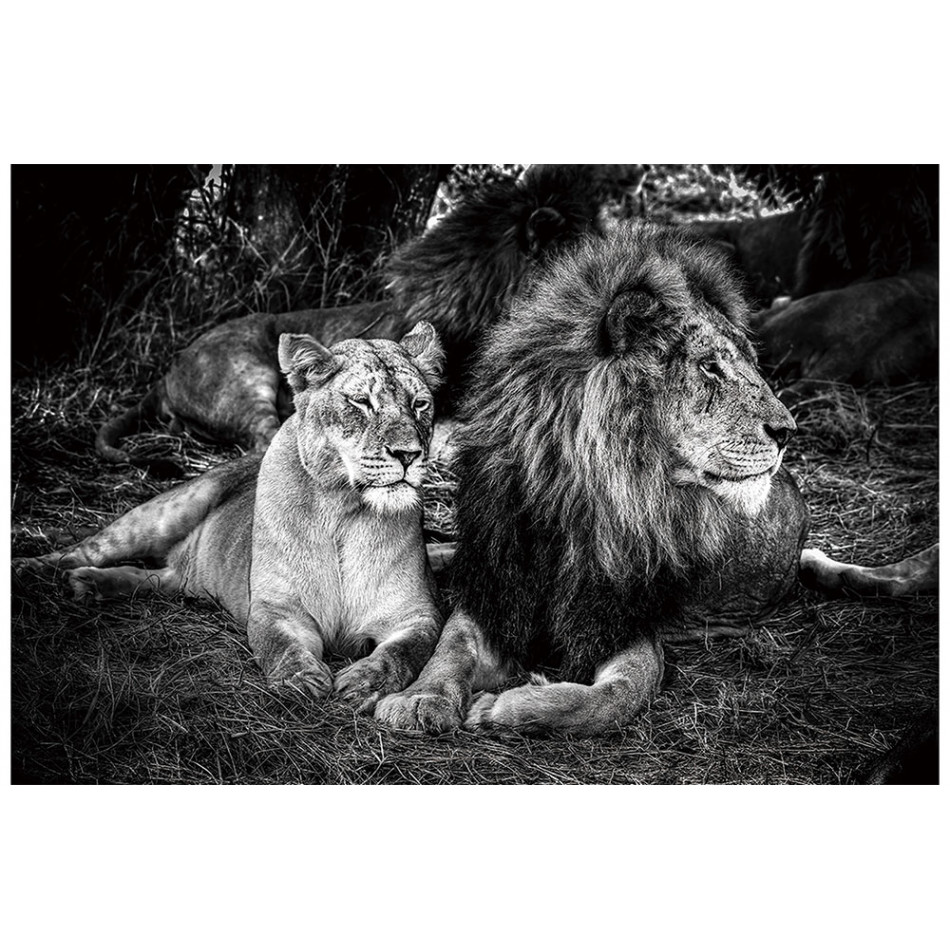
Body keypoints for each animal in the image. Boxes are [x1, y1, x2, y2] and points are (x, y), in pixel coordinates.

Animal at [17, 323, 445, 710]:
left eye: (420, 404)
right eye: (361, 401)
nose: (409, 454)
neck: (343, 508)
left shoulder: (416, 616)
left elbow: (402, 653)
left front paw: (363, 681)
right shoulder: (276, 608)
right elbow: (280, 646)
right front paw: (299, 679)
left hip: (182, 574)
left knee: (154, 579)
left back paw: (89, 585)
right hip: (166, 511)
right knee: (88, 548)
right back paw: (31, 569)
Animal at [375, 223, 938, 737]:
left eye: (752, 364)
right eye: (710, 367)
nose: (787, 431)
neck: (576, 496)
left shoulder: (620, 622)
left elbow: (610, 698)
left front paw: (503, 706)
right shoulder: (499, 588)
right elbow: (451, 647)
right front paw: (420, 700)